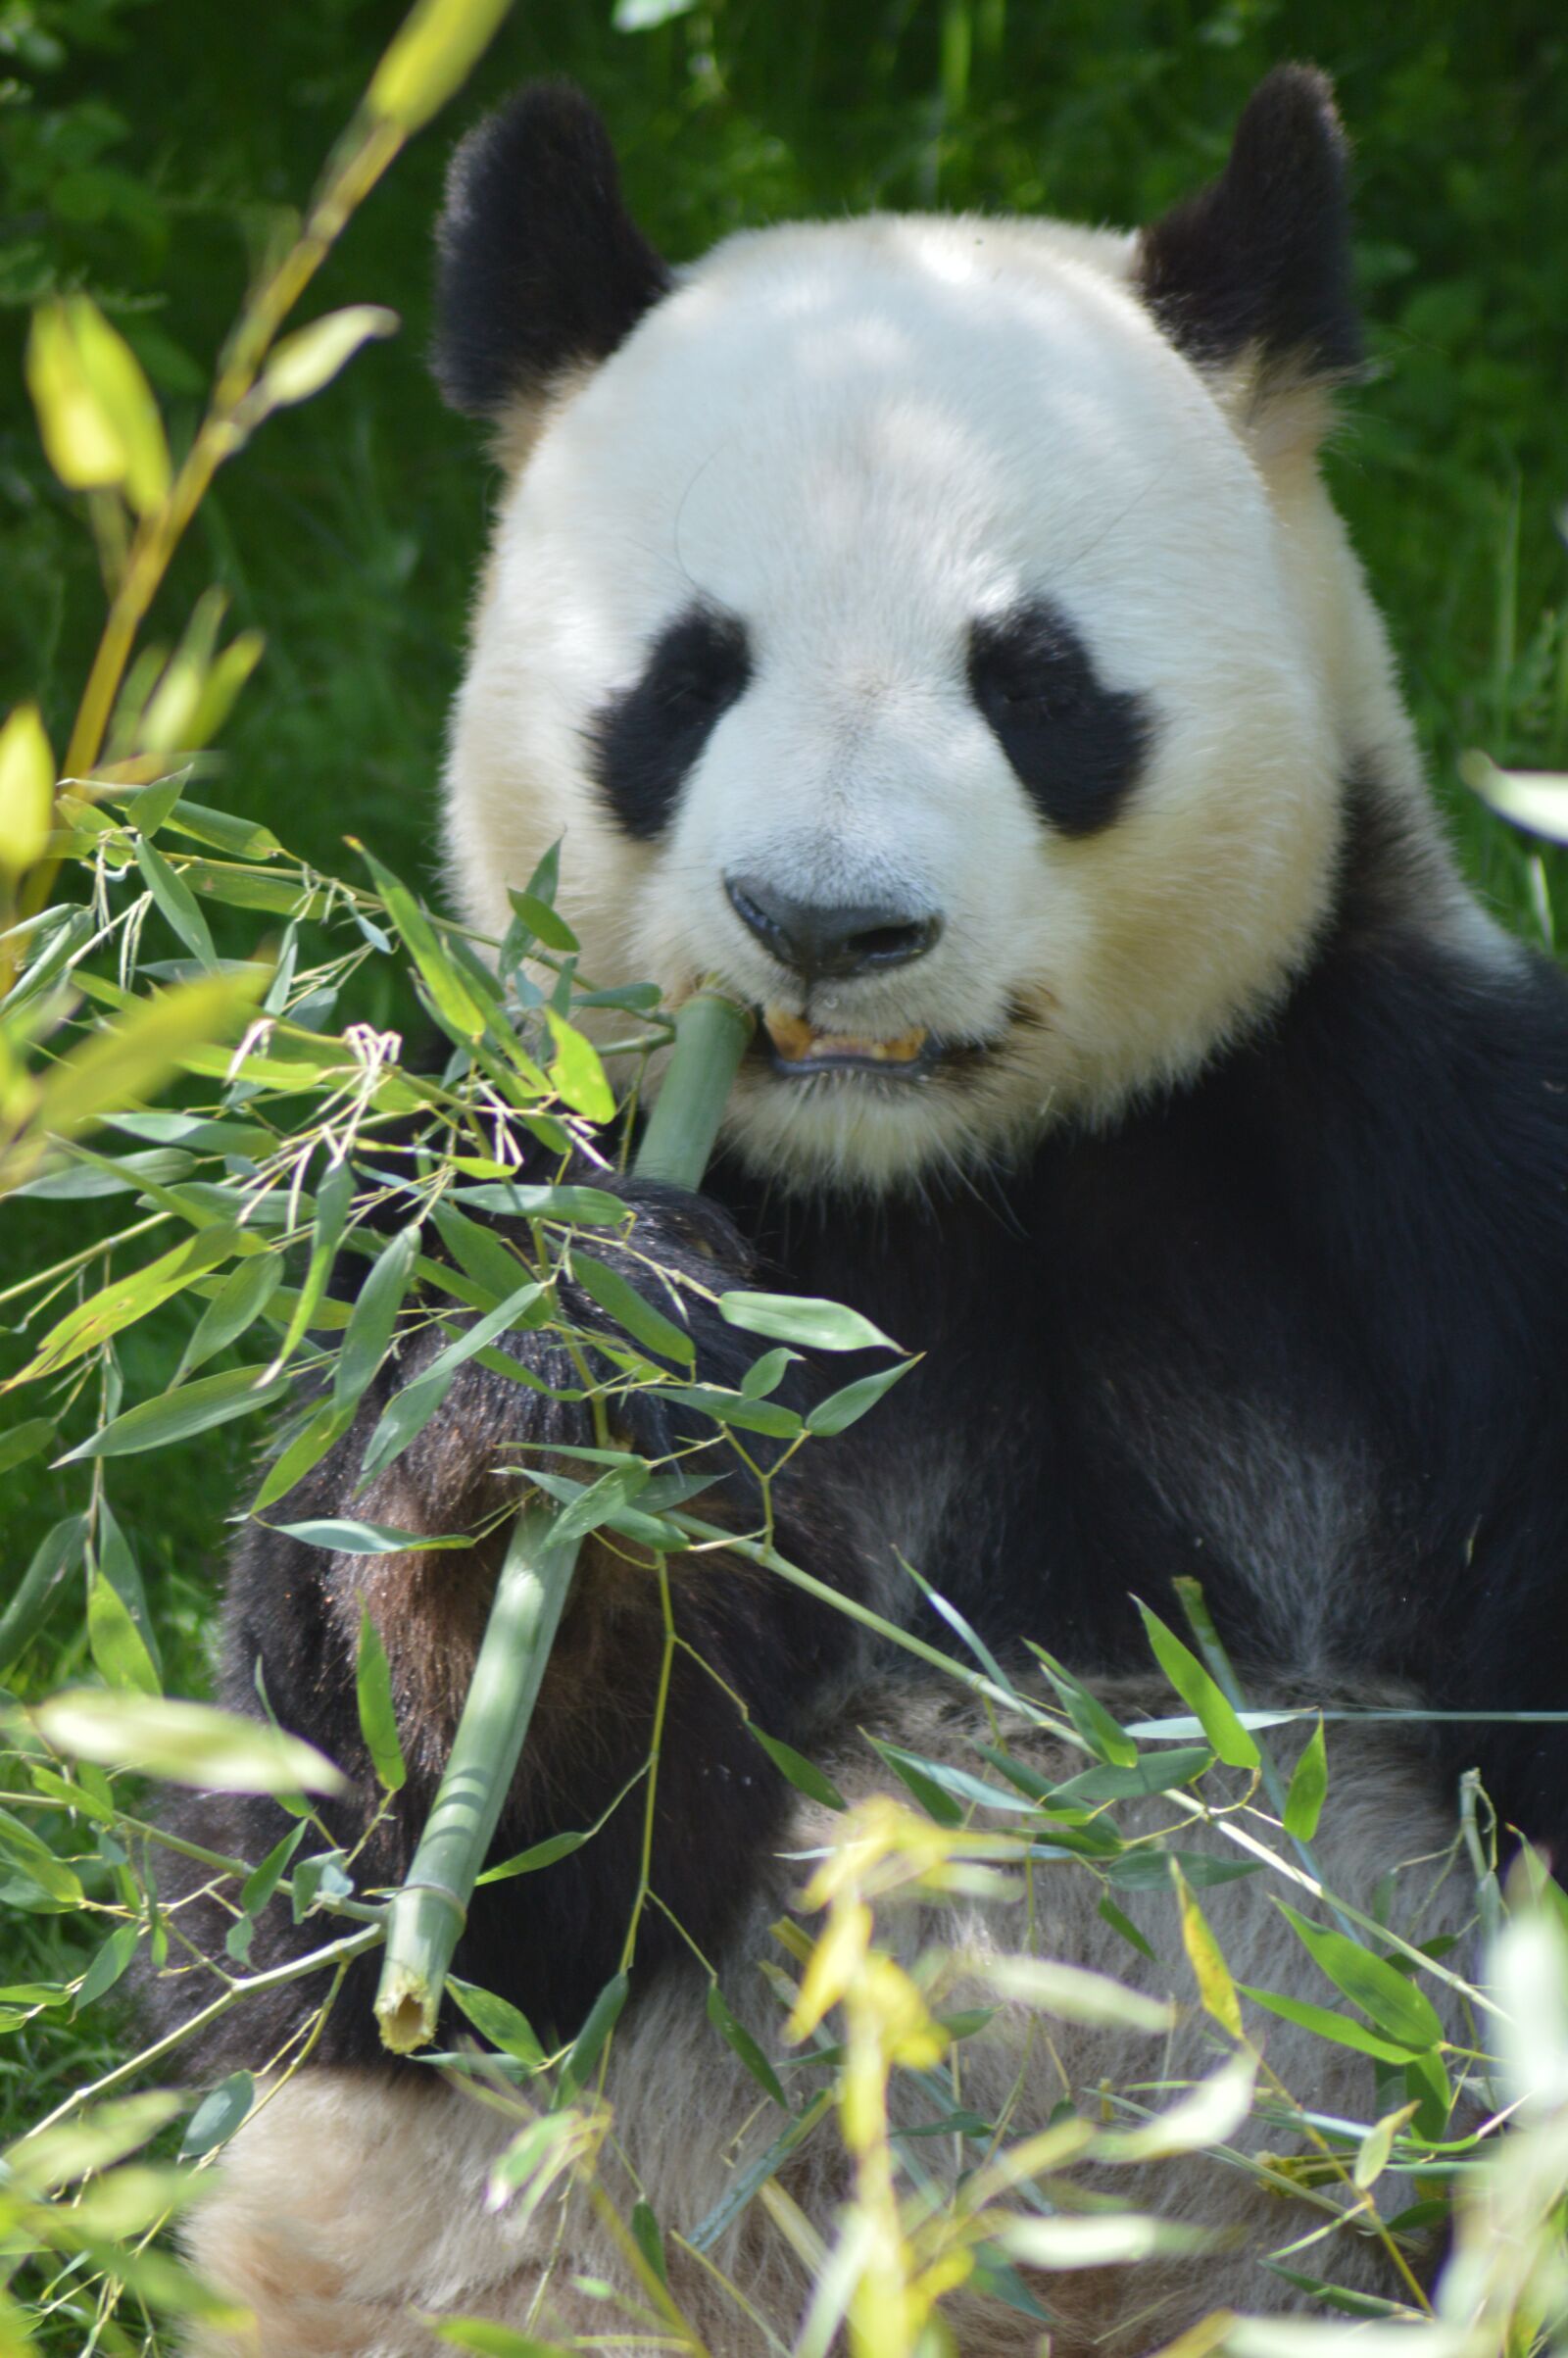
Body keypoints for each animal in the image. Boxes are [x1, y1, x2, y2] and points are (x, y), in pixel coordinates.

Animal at [162, 64, 1568, 2358]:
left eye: (1031, 679)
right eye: (684, 678)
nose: (825, 922)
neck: (939, 1190)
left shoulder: (1420, 1188)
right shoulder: (442, 1211)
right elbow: (347, 1906)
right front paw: (585, 1490)